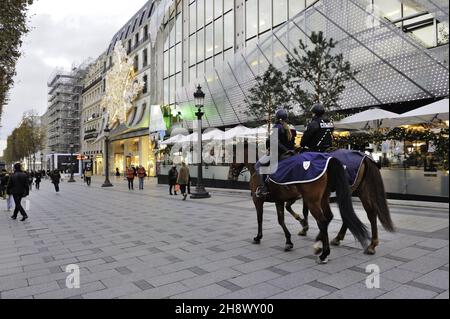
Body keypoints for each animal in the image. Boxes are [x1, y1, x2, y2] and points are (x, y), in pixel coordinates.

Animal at [230, 151, 396, 256]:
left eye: (233, 155)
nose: (231, 174)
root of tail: (365, 157)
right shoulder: (282, 199)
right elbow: (283, 217)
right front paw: (295, 234)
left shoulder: (259, 200)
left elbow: (261, 219)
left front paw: (259, 237)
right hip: (356, 191)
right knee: (360, 214)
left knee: (334, 218)